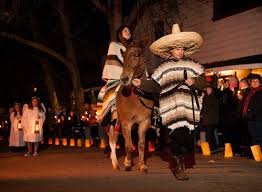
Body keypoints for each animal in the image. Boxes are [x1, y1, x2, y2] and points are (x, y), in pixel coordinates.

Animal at [108, 42, 155, 173]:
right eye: (123, 57)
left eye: (137, 55)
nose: (124, 78)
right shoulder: (126, 123)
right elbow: (128, 146)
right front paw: (128, 163)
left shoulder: (144, 122)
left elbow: (141, 145)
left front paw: (142, 165)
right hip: (114, 122)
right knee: (112, 141)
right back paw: (115, 164)